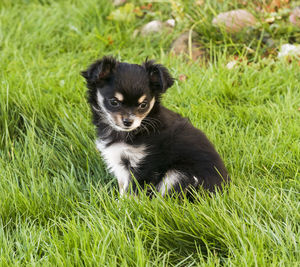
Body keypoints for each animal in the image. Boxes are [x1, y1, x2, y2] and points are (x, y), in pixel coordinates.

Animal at [81, 56, 229, 197]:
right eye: (114, 102)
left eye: (143, 104)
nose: (128, 121)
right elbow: (123, 187)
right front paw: (119, 202)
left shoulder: (143, 164)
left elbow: (132, 191)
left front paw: (125, 204)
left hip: (178, 174)